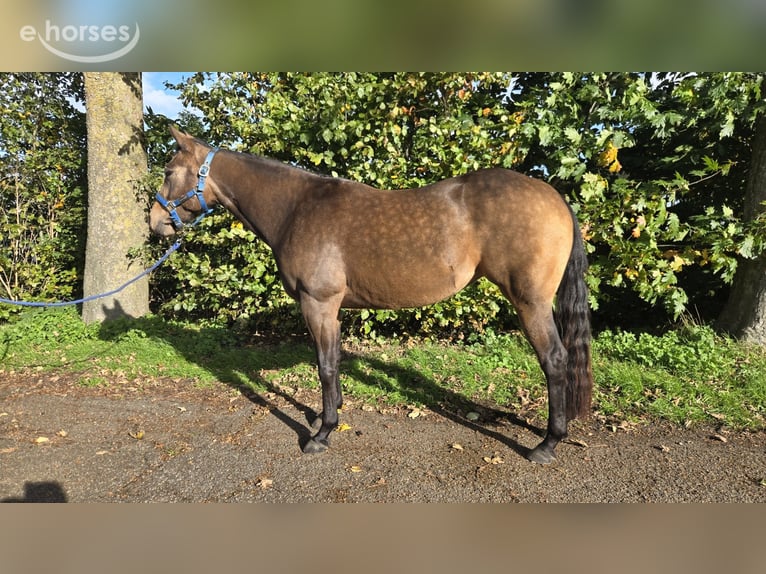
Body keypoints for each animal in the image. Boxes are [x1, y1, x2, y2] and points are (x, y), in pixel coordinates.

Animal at [150, 126, 593, 464]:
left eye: (169, 171)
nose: (156, 224)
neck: (296, 209)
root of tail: (554, 197)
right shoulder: (328, 310)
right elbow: (331, 362)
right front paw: (327, 419)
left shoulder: (319, 304)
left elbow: (325, 365)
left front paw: (321, 434)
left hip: (531, 302)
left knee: (554, 360)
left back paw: (546, 444)